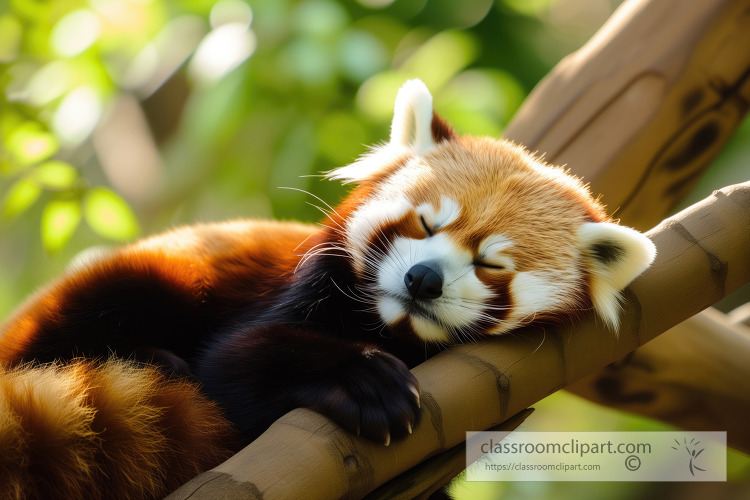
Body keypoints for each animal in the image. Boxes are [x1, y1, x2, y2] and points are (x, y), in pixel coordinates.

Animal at [0, 80, 656, 498]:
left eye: (490, 264)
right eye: (426, 224)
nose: (422, 278)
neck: (390, 329)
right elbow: (236, 358)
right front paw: (362, 377)